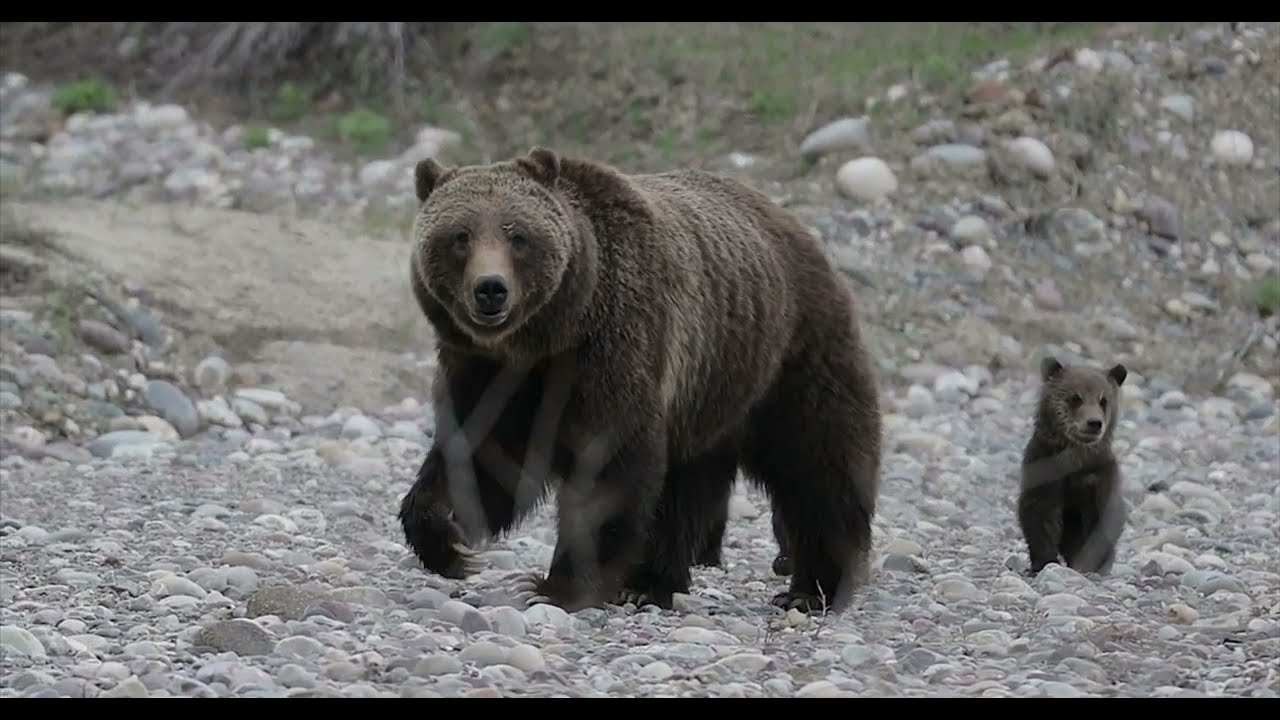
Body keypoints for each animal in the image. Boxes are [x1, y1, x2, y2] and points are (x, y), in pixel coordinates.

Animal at [396, 146, 882, 613]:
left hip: (785, 356)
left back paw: (811, 587)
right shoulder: (486, 370)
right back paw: (652, 583)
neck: (548, 337)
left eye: (518, 236)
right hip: (706, 395)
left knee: (818, 464)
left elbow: (607, 461)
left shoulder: (615, 344)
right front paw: (448, 540)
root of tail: (794, 225)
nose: (491, 289)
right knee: (686, 485)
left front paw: (556, 587)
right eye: (460, 236)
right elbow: (478, 454)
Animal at [1017, 356, 1129, 575]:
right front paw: (1044, 561)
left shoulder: (1098, 477)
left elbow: (1100, 522)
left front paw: (1092, 564)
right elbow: (1039, 516)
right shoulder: (1045, 472)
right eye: (1075, 397)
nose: (1094, 423)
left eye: (1103, 400)